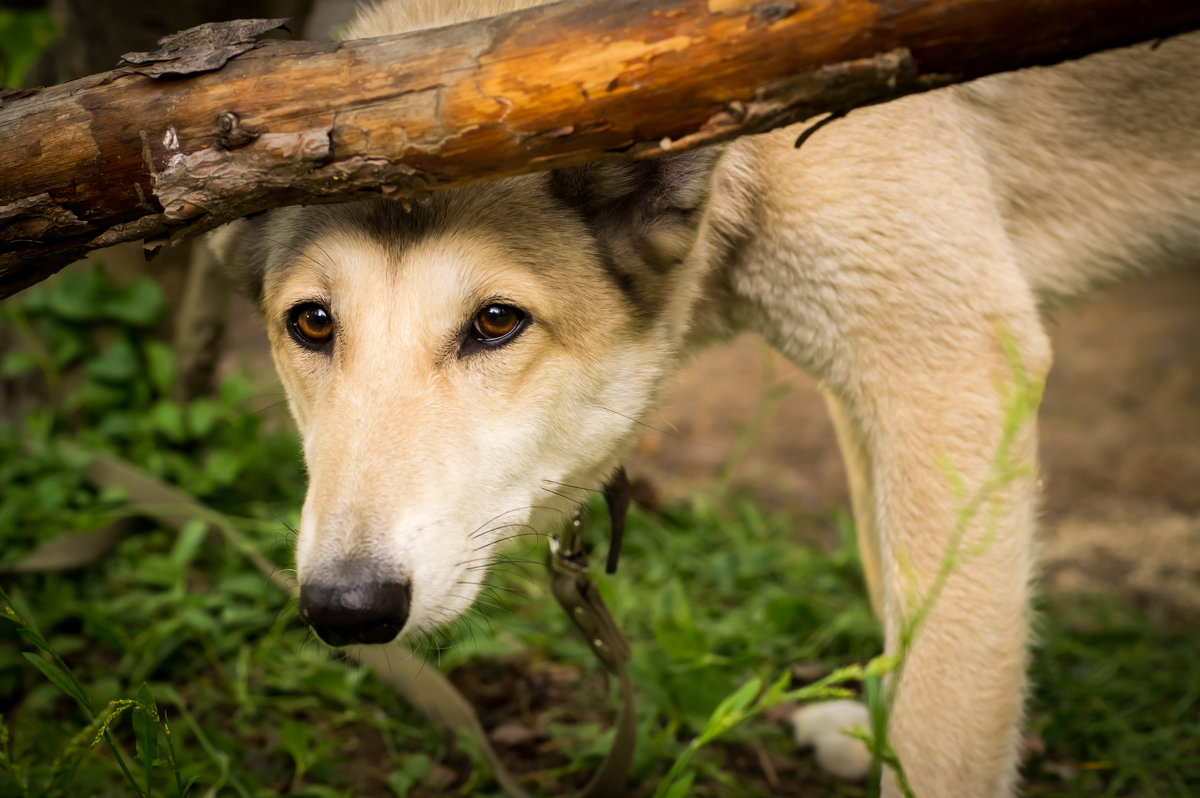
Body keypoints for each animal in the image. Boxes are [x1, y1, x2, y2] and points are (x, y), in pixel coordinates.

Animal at [211, 3, 1200, 792]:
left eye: (495, 322)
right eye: (312, 324)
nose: (346, 609)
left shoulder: (947, 368)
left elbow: (944, 716)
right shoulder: (877, 394)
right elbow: (898, 595)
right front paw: (873, 723)